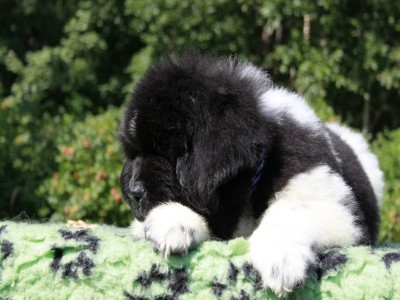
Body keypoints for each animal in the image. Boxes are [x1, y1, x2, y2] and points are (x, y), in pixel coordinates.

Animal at [119, 52, 384, 296]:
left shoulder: (342, 211)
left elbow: (292, 207)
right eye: (133, 153)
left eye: (165, 152)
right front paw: (173, 220)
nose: (132, 194)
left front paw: (280, 259)